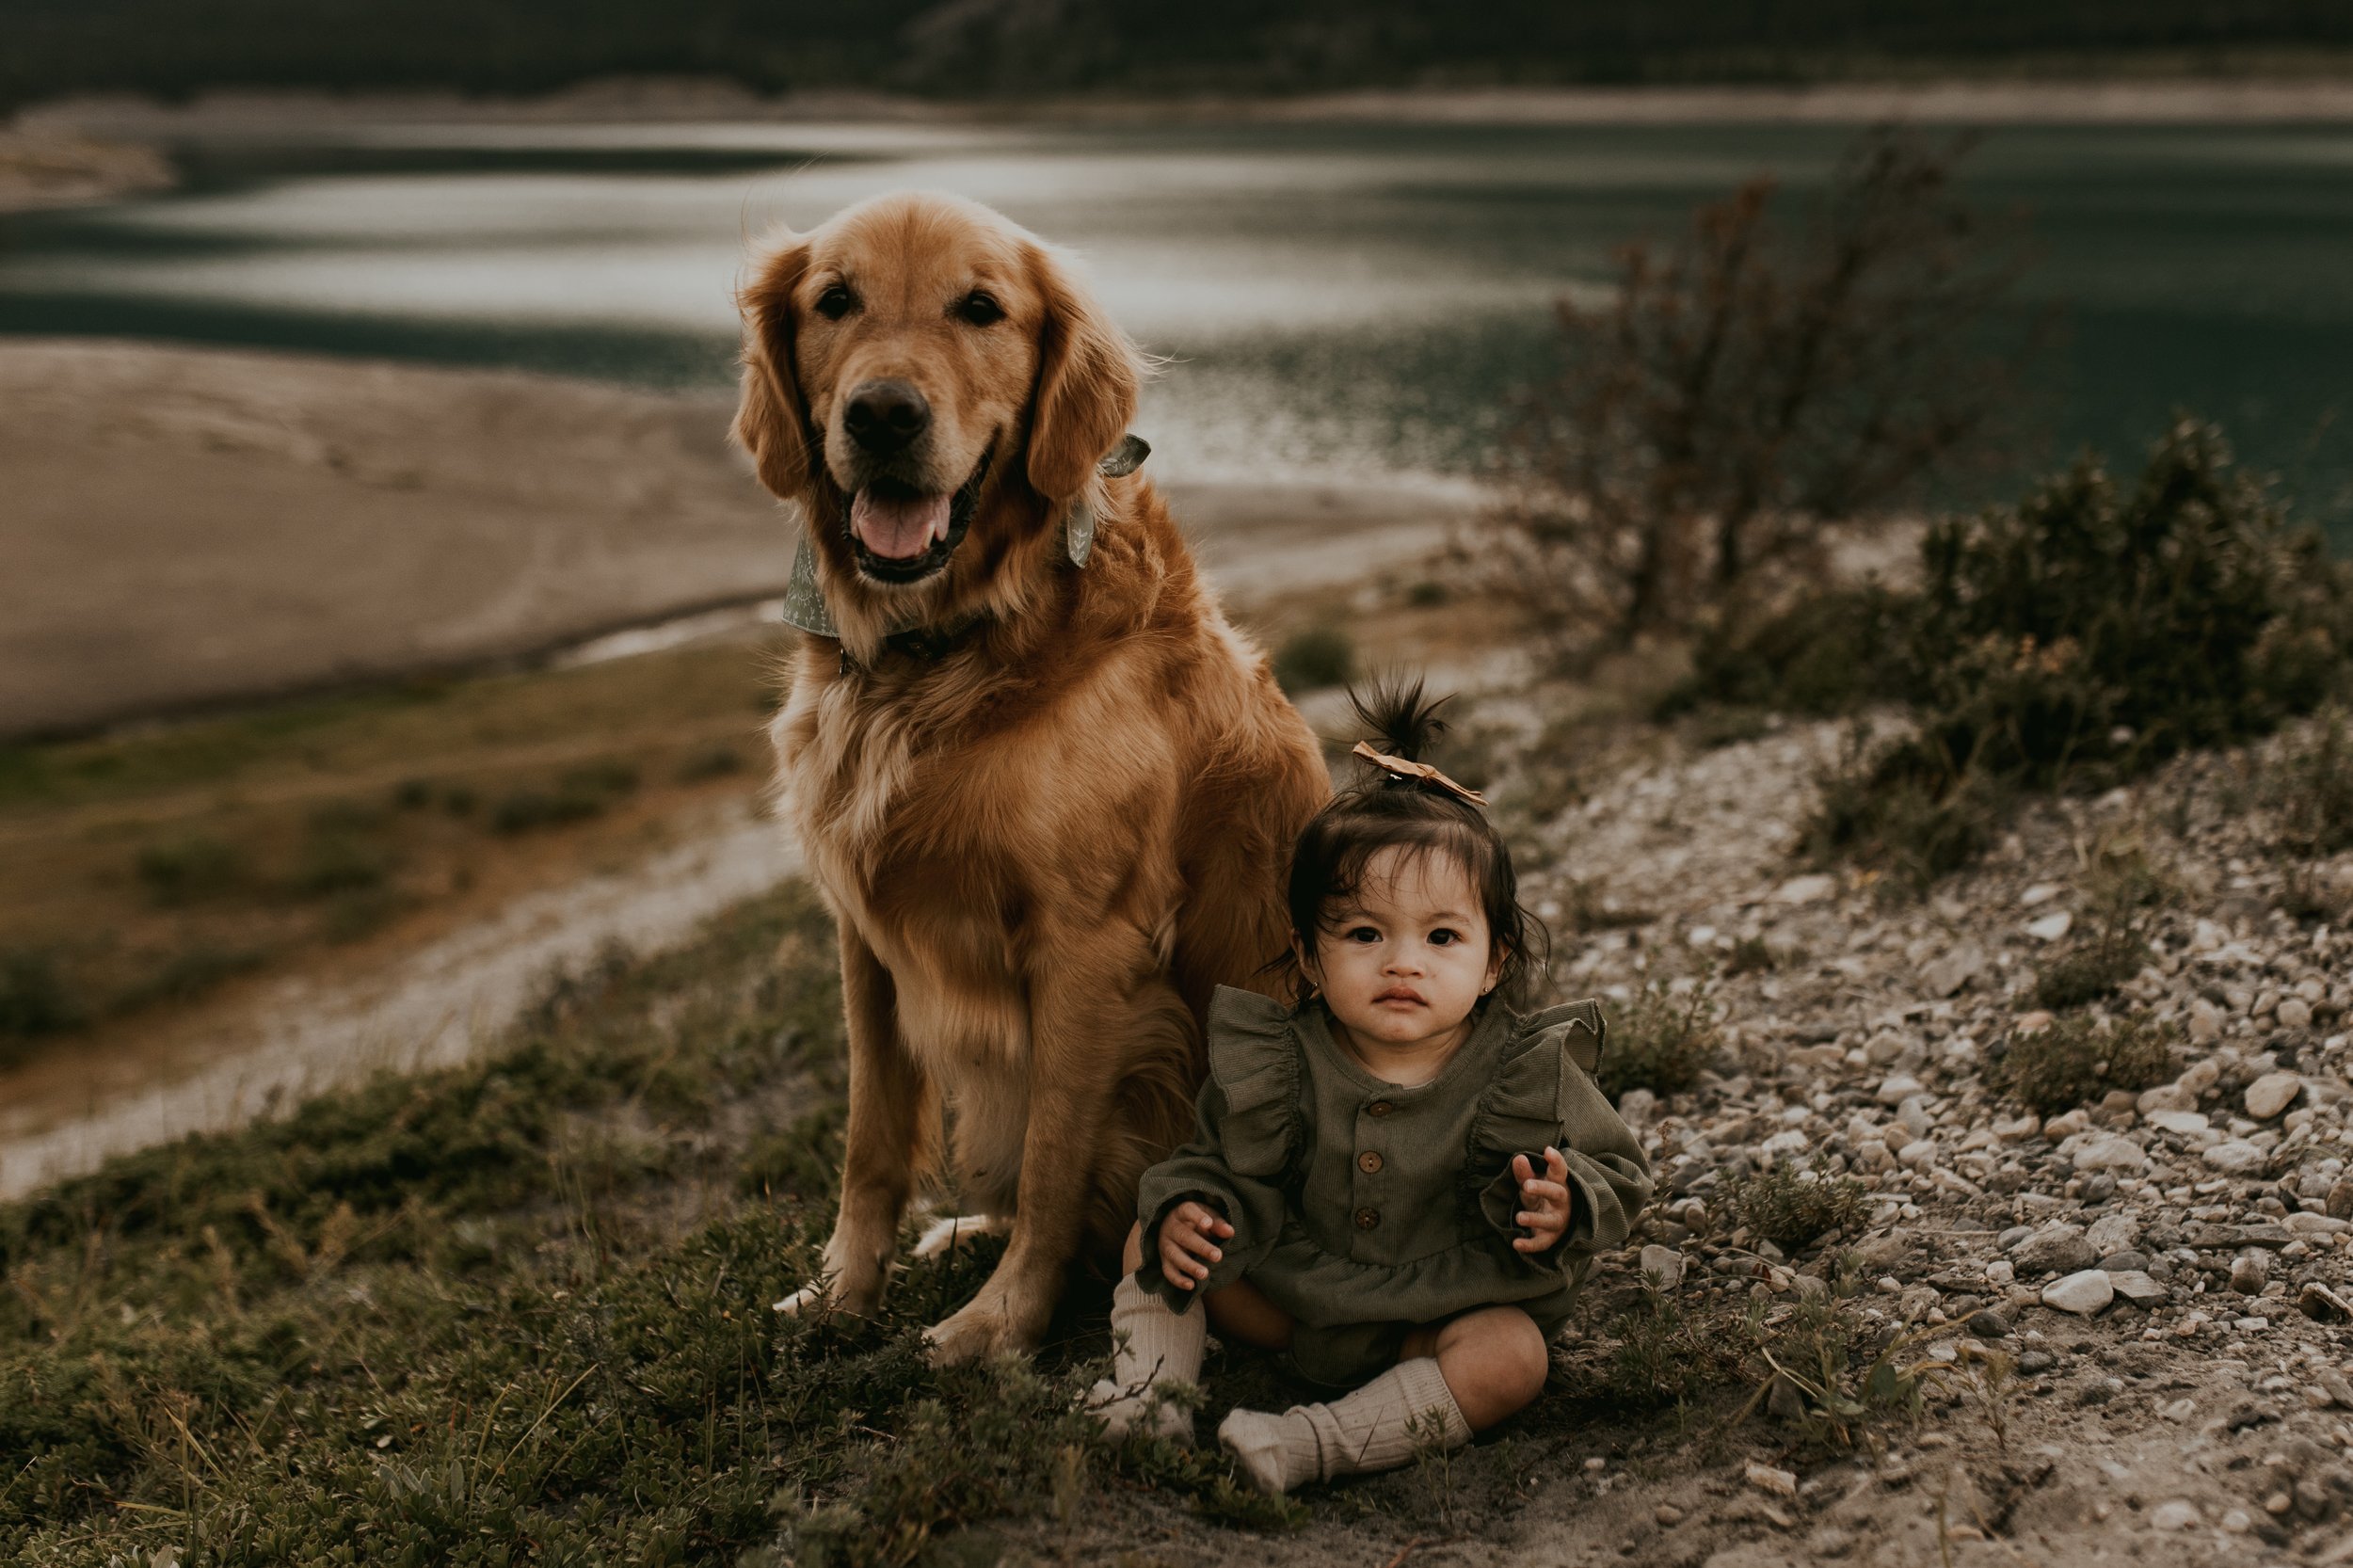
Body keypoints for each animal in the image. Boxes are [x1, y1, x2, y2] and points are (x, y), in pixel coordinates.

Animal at [729, 191, 1327, 1355]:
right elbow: (870, 1139)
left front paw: (1000, 1323)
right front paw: (842, 1292)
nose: (882, 416)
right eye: (835, 301)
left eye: (979, 308)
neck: (942, 647)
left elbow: (1054, 1156)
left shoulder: (1088, 946)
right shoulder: (862, 933)